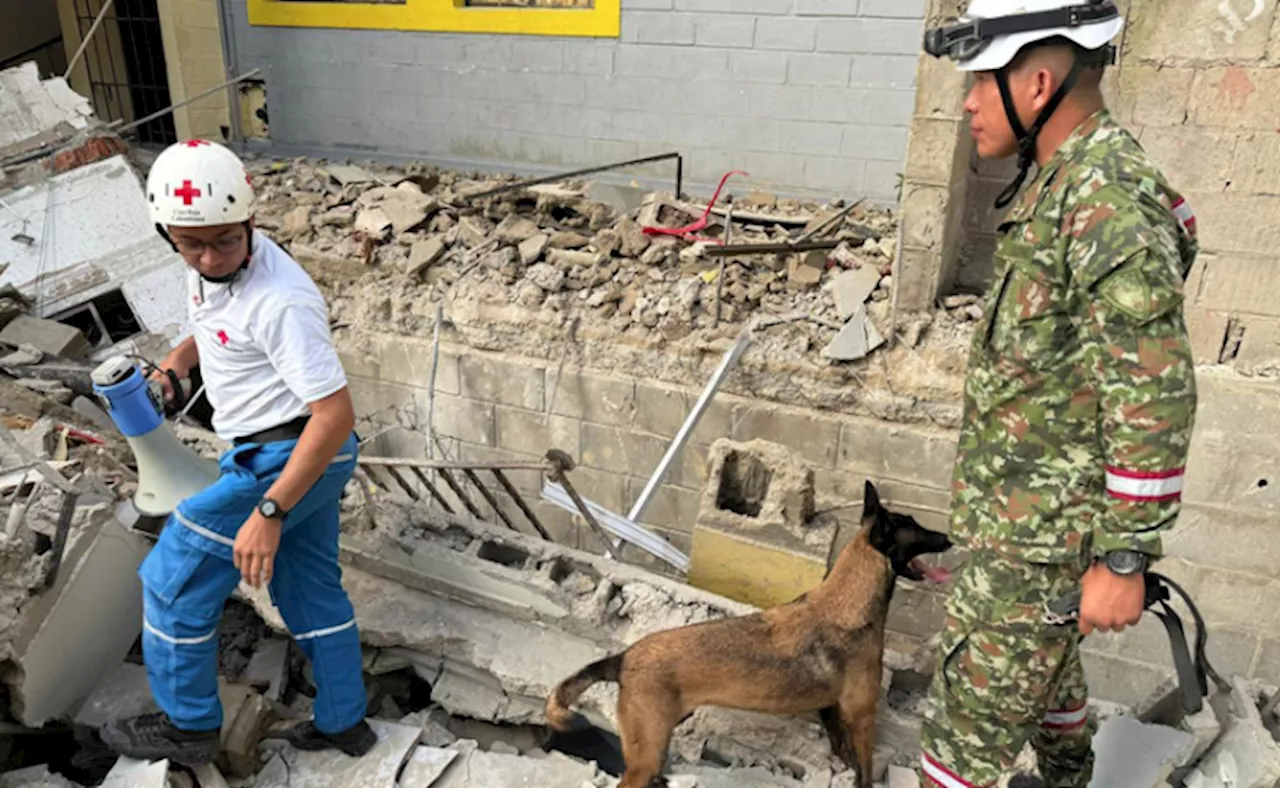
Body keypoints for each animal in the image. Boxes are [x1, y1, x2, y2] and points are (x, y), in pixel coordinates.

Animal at [545, 480, 957, 788]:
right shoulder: (862, 718)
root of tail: (625, 657)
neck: (847, 601)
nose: (950, 539)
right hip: (647, 750)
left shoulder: (833, 713)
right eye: (916, 527)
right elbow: (866, 771)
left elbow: (848, 759)